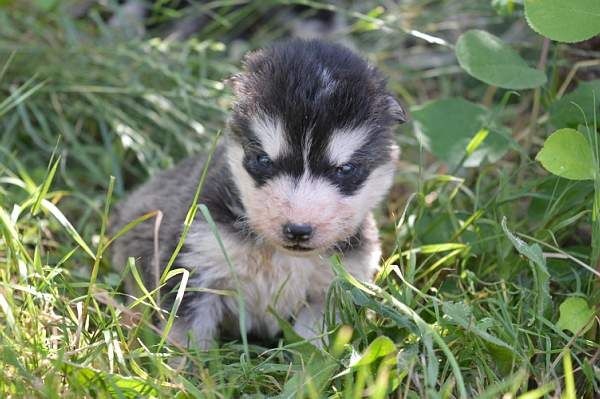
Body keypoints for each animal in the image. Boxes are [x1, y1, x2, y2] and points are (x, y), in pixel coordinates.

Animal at [110, 38, 406, 350]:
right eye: (264, 160)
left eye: (345, 169)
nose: (297, 230)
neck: (279, 256)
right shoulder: (196, 266)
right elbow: (188, 339)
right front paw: (186, 365)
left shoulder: (329, 292)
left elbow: (310, 347)